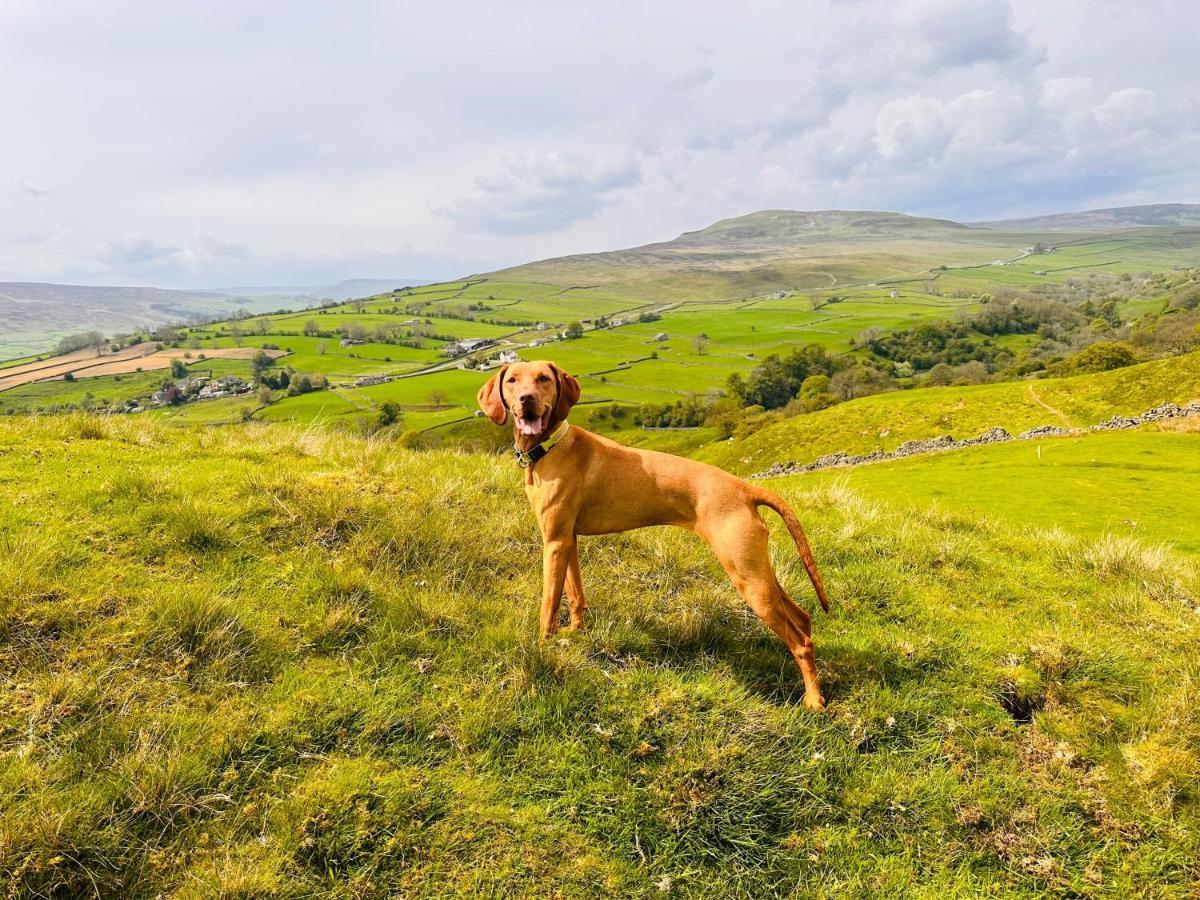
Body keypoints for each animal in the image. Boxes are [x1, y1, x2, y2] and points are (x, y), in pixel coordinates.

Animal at [472, 360, 830, 710]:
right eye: (513, 380)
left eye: (543, 379)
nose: (526, 399)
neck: (550, 447)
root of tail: (744, 488)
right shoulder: (567, 539)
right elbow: (575, 595)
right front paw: (575, 634)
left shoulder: (554, 543)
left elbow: (548, 603)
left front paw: (543, 646)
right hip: (758, 571)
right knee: (803, 619)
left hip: (747, 576)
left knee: (801, 642)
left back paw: (813, 700)